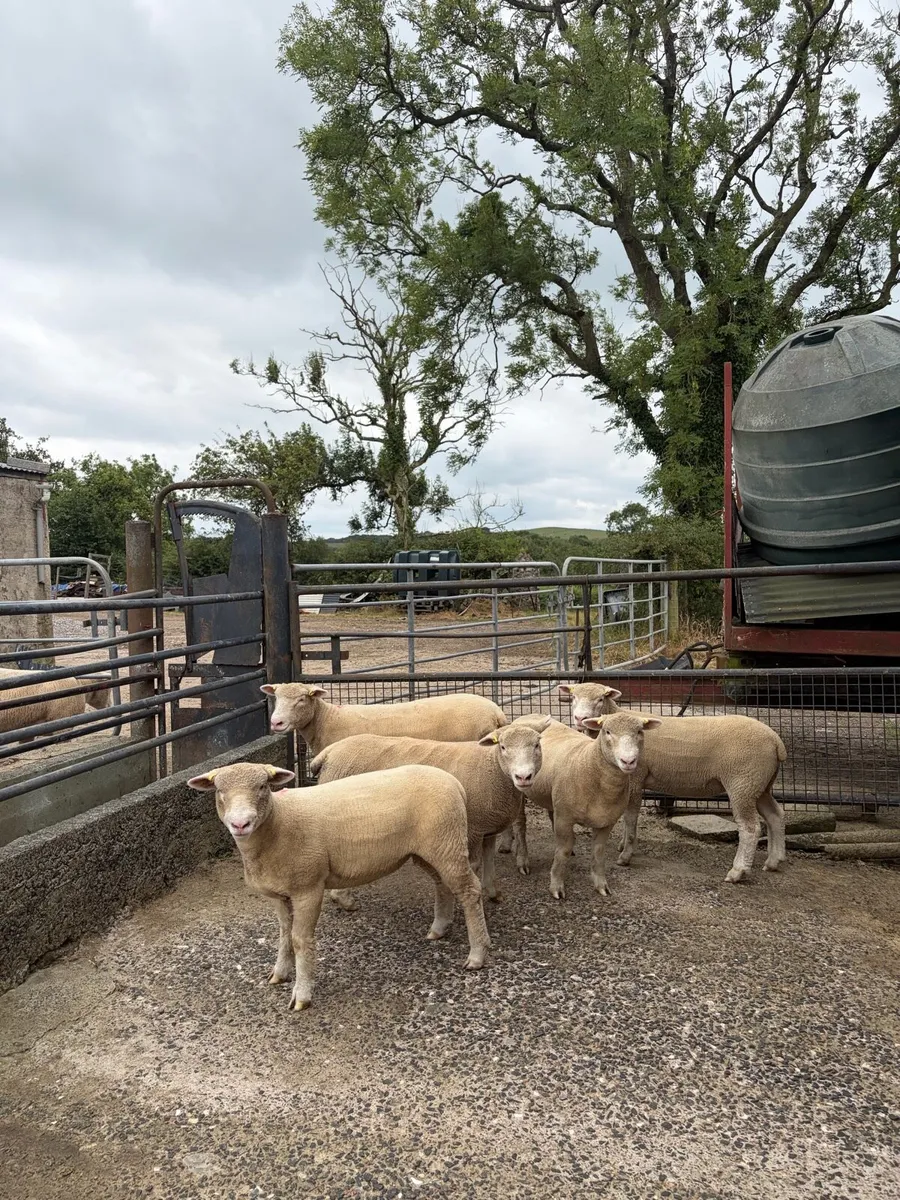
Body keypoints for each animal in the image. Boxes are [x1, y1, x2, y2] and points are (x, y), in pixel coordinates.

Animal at [187, 761, 491, 1012]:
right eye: (219, 790)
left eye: (262, 786)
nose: (241, 824)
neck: (278, 823)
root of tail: (454, 783)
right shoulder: (277, 894)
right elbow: (284, 934)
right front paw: (280, 973)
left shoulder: (308, 888)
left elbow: (300, 940)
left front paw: (302, 994)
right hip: (429, 849)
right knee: (443, 884)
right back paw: (439, 928)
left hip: (447, 842)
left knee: (470, 891)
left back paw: (477, 953)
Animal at [309, 716, 550, 912]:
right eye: (503, 747)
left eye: (537, 744)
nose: (523, 777)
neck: (491, 768)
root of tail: (328, 753)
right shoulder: (472, 827)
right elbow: (474, 865)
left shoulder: (487, 826)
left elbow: (489, 860)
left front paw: (493, 893)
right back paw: (344, 900)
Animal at [521, 711, 662, 900]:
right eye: (607, 731)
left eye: (639, 731)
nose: (628, 761)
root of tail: (529, 714)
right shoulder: (564, 818)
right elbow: (563, 851)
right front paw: (556, 886)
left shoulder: (606, 822)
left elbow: (598, 852)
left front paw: (601, 885)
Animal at [557, 682, 788, 883]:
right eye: (573, 697)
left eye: (600, 699)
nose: (580, 718)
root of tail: (776, 741)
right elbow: (626, 817)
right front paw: (623, 845)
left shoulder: (635, 778)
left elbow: (630, 818)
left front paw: (626, 856)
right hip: (759, 784)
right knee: (775, 815)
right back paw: (774, 861)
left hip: (742, 782)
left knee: (750, 828)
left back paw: (738, 872)